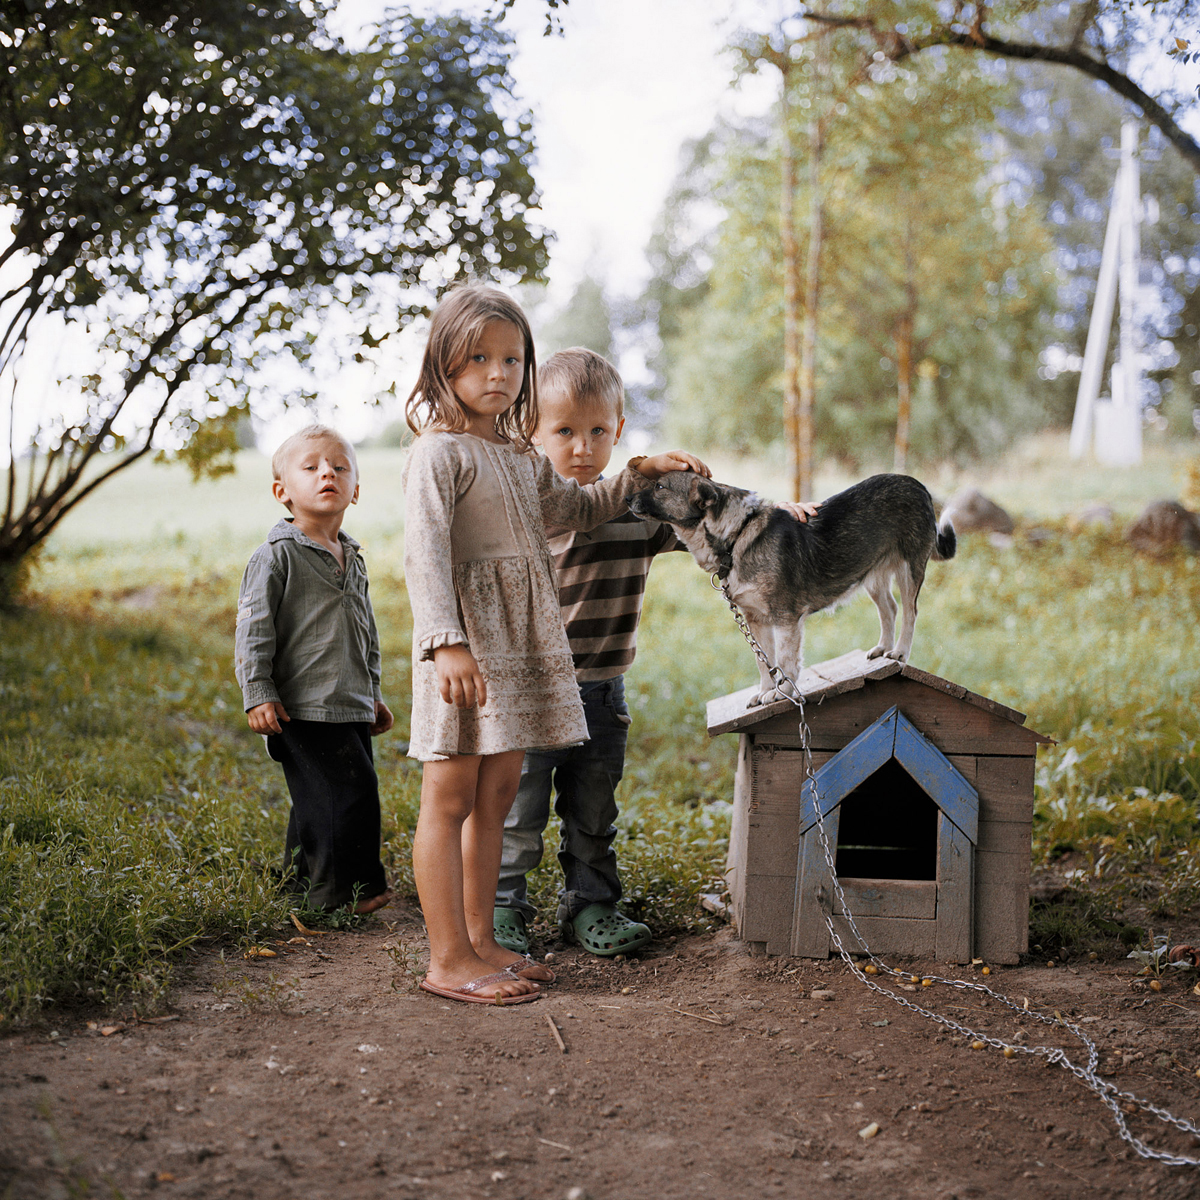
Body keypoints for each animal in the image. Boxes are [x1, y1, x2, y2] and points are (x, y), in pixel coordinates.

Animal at [628, 472, 955, 705]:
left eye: (659, 486)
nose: (628, 498)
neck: (738, 535)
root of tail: (918, 485)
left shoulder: (785, 618)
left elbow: (785, 661)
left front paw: (780, 691)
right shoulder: (755, 621)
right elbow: (764, 663)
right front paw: (765, 692)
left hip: (909, 569)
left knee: (910, 611)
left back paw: (899, 652)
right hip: (870, 574)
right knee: (890, 608)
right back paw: (884, 647)